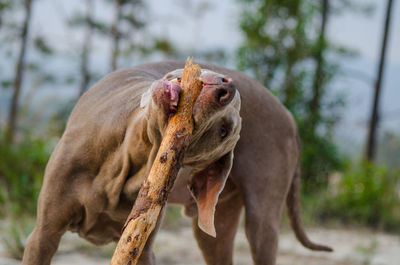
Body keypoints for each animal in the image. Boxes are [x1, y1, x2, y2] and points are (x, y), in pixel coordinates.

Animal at [23, 60, 332, 264]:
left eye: (224, 131)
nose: (226, 87)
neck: (132, 159)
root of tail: (290, 119)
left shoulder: (142, 248)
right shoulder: (42, 236)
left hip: (260, 222)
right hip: (216, 228)